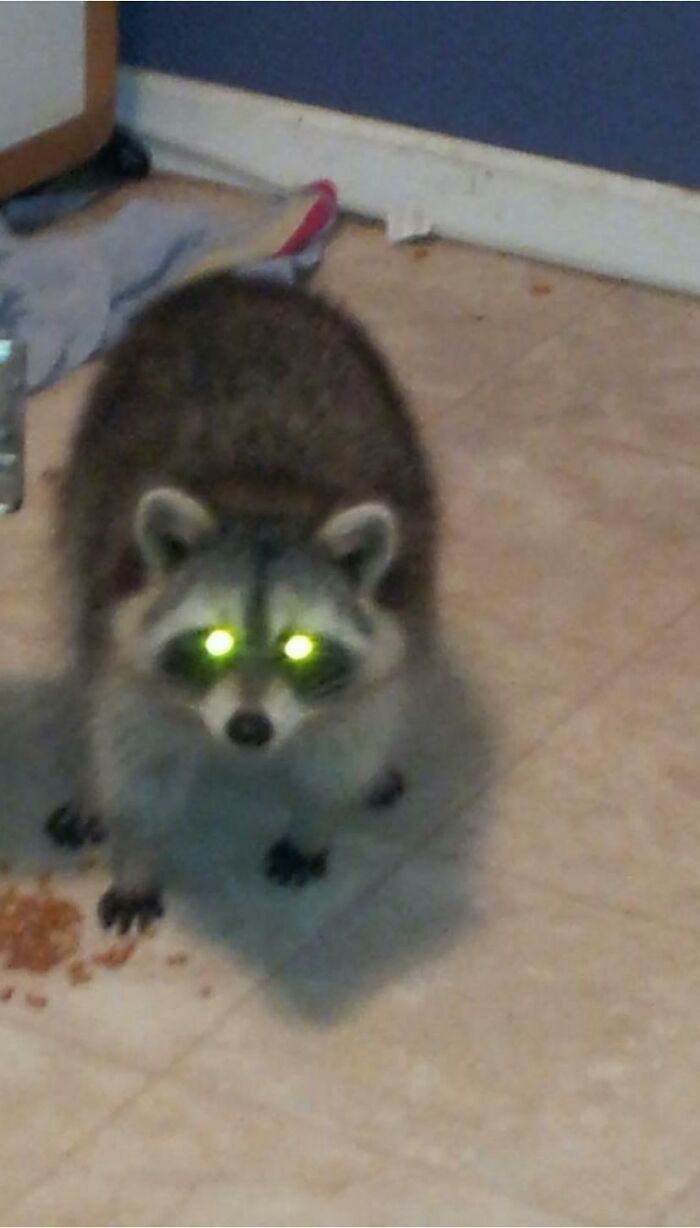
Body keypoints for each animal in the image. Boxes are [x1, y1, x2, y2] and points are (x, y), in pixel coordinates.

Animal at [47, 275, 438, 932]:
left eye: (299, 647)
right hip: (84, 496)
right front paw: (135, 852)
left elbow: (347, 745)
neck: (263, 502)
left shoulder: (393, 621)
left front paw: (315, 821)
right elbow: (136, 763)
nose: (249, 729)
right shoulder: (124, 646)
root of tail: (240, 282)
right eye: (216, 641)